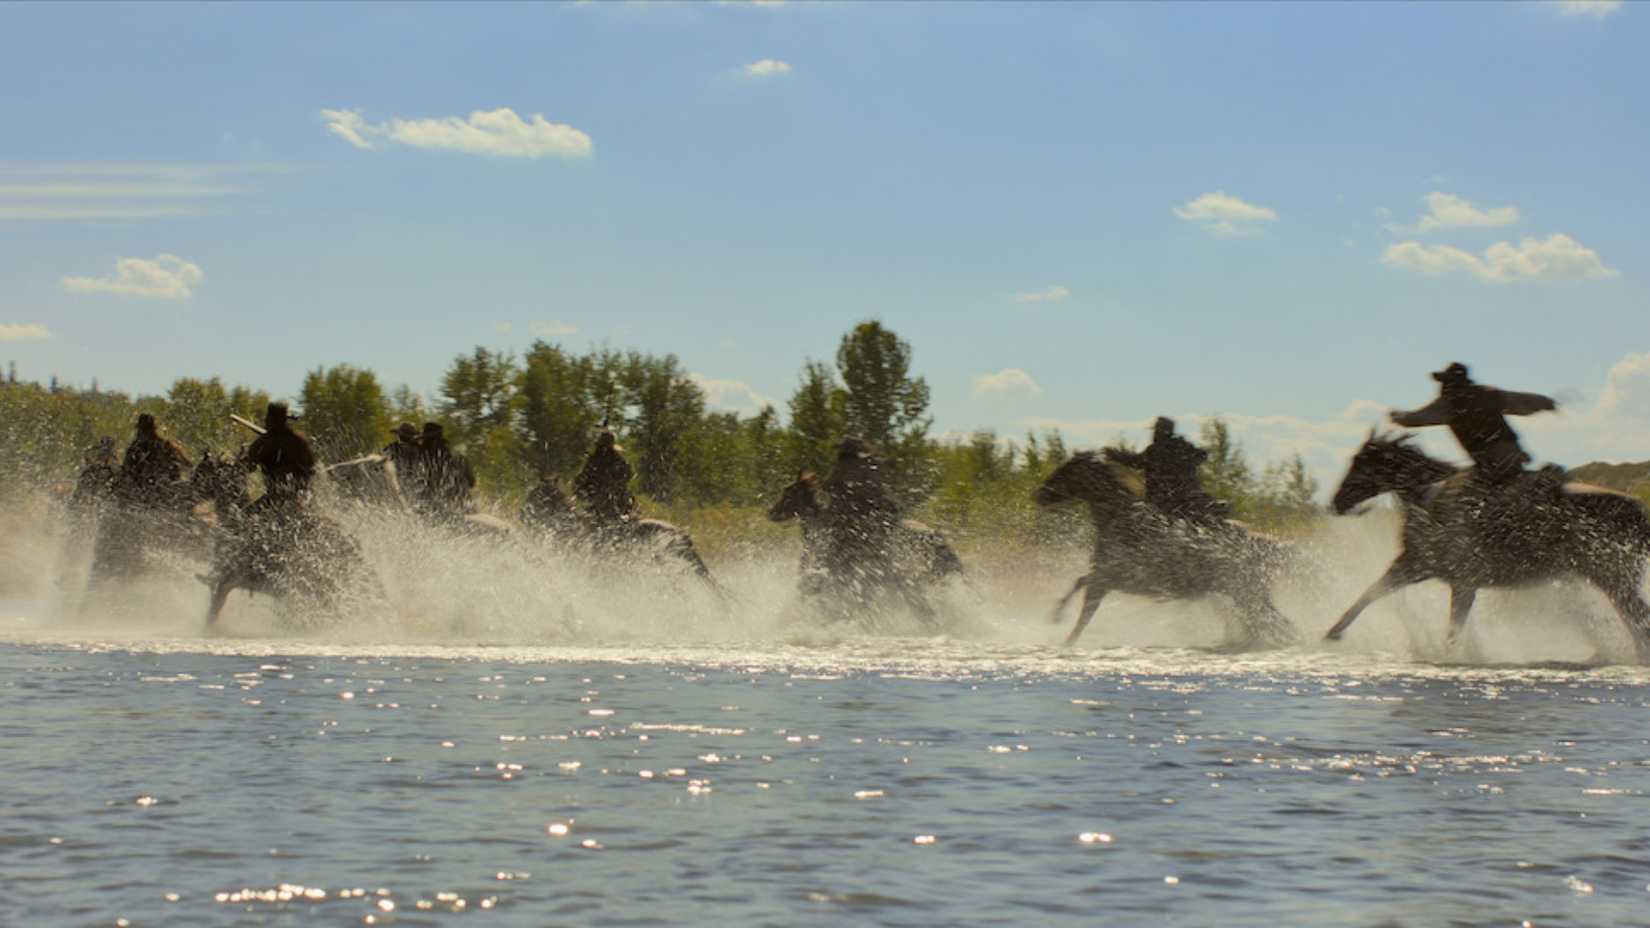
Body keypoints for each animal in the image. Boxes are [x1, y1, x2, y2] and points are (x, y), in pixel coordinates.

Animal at [1033, 452, 1297, 648]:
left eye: (1067, 470)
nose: (1039, 495)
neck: (1119, 519)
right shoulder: (1109, 578)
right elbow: (1080, 586)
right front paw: (1058, 620)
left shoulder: (1111, 577)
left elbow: (1084, 609)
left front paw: (1058, 623)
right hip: (1246, 595)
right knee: (1270, 624)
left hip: (1247, 595)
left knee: (1277, 625)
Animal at [1323, 432, 1650, 660]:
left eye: (1360, 463)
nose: (1336, 502)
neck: (1431, 500)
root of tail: (1639, 510)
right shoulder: (1416, 565)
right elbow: (1371, 593)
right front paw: (1332, 632)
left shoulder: (1460, 583)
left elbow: (1451, 629)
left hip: (1613, 580)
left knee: (1639, 622)